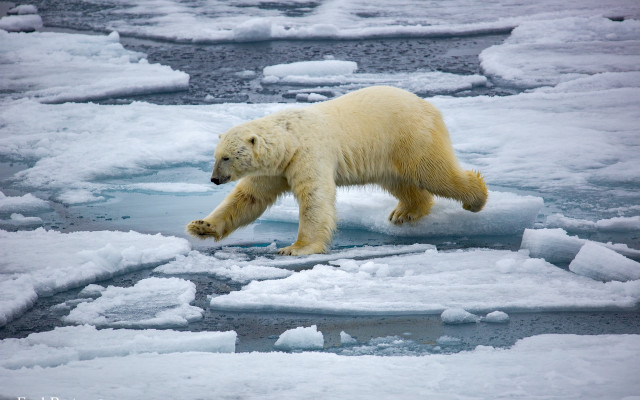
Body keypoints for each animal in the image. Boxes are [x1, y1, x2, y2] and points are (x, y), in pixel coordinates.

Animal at [187, 85, 488, 255]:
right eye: (215, 156)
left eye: (227, 157)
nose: (214, 179)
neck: (290, 138)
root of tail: (428, 105)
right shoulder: (275, 169)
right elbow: (248, 198)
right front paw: (201, 226)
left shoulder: (308, 154)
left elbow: (314, 199)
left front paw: (296, 249)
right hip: (389, 153)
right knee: (401, 182)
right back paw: (405, 212)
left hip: (409, 136)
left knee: (433, 172)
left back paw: (476, 199)